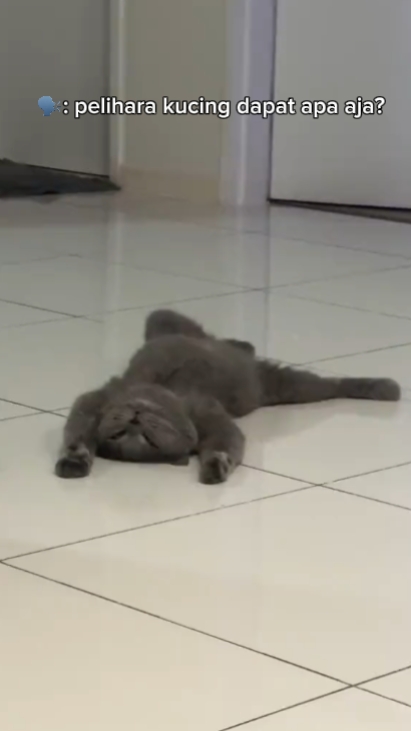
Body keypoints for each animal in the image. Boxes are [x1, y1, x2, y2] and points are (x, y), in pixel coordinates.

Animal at [55, 309, 401, 484]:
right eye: (120, 435)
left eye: (147, 435)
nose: (136, 418)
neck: (158, 394)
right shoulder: (208, 412)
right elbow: (228, 438)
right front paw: (216, 465)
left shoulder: (98, 398)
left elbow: (78, 425)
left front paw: (74, 458)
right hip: (276, 385)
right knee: (323, 385)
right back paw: (386, 387)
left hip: (167, 325)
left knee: (168, 317)